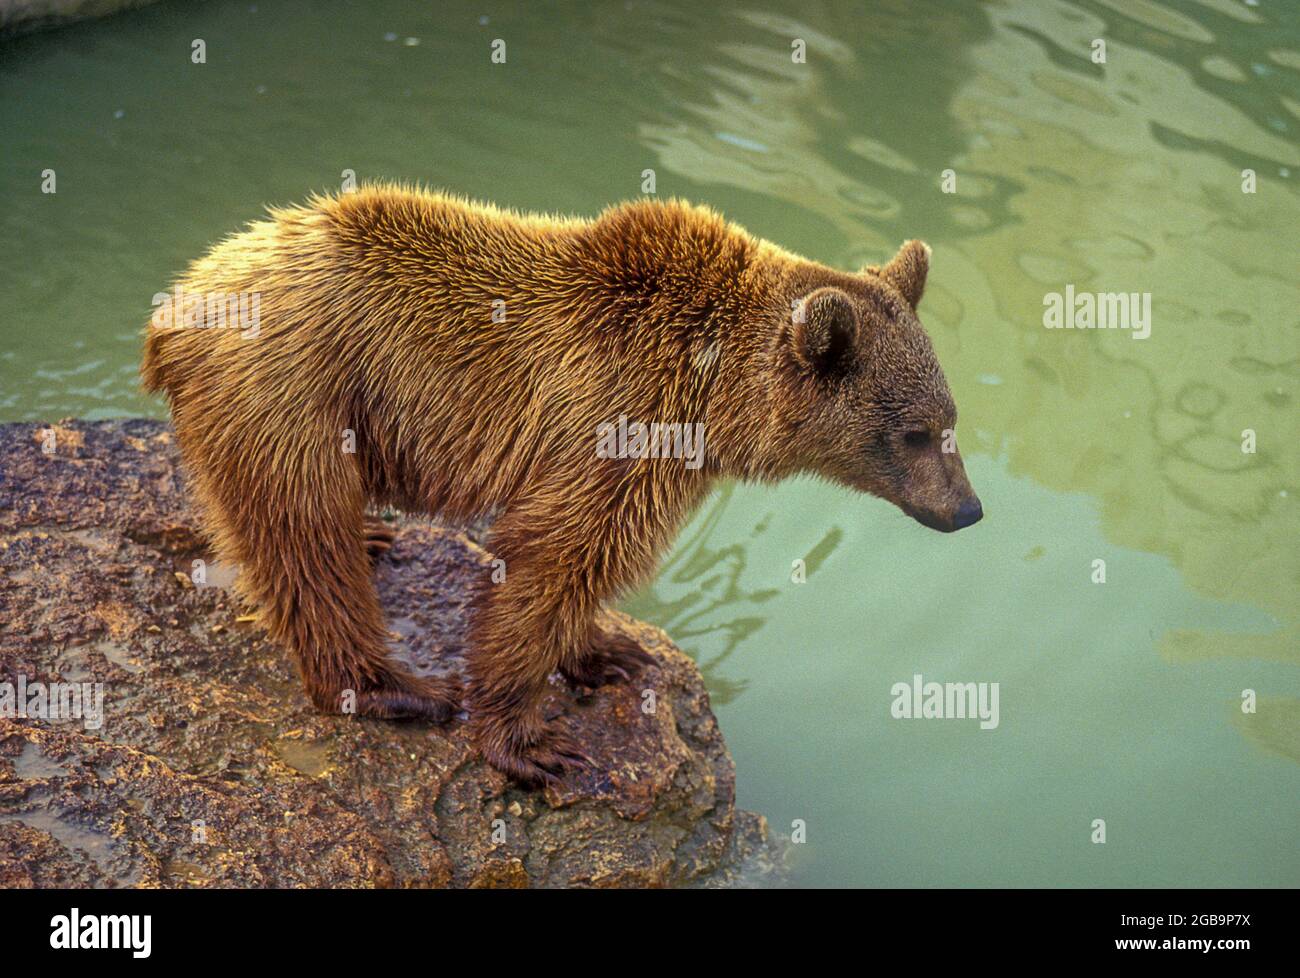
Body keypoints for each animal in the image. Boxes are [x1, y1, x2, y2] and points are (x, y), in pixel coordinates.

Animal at [137, 184, 977, 785]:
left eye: (950, 418)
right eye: (914, 432)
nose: (967, 509)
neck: (713, 394)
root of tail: (177, 302)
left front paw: (610, 650)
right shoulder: (618, 422)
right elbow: (553, 555)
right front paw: (532, 742)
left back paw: (372, 535)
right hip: (293, 391)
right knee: (303, 536)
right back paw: (393, 686)